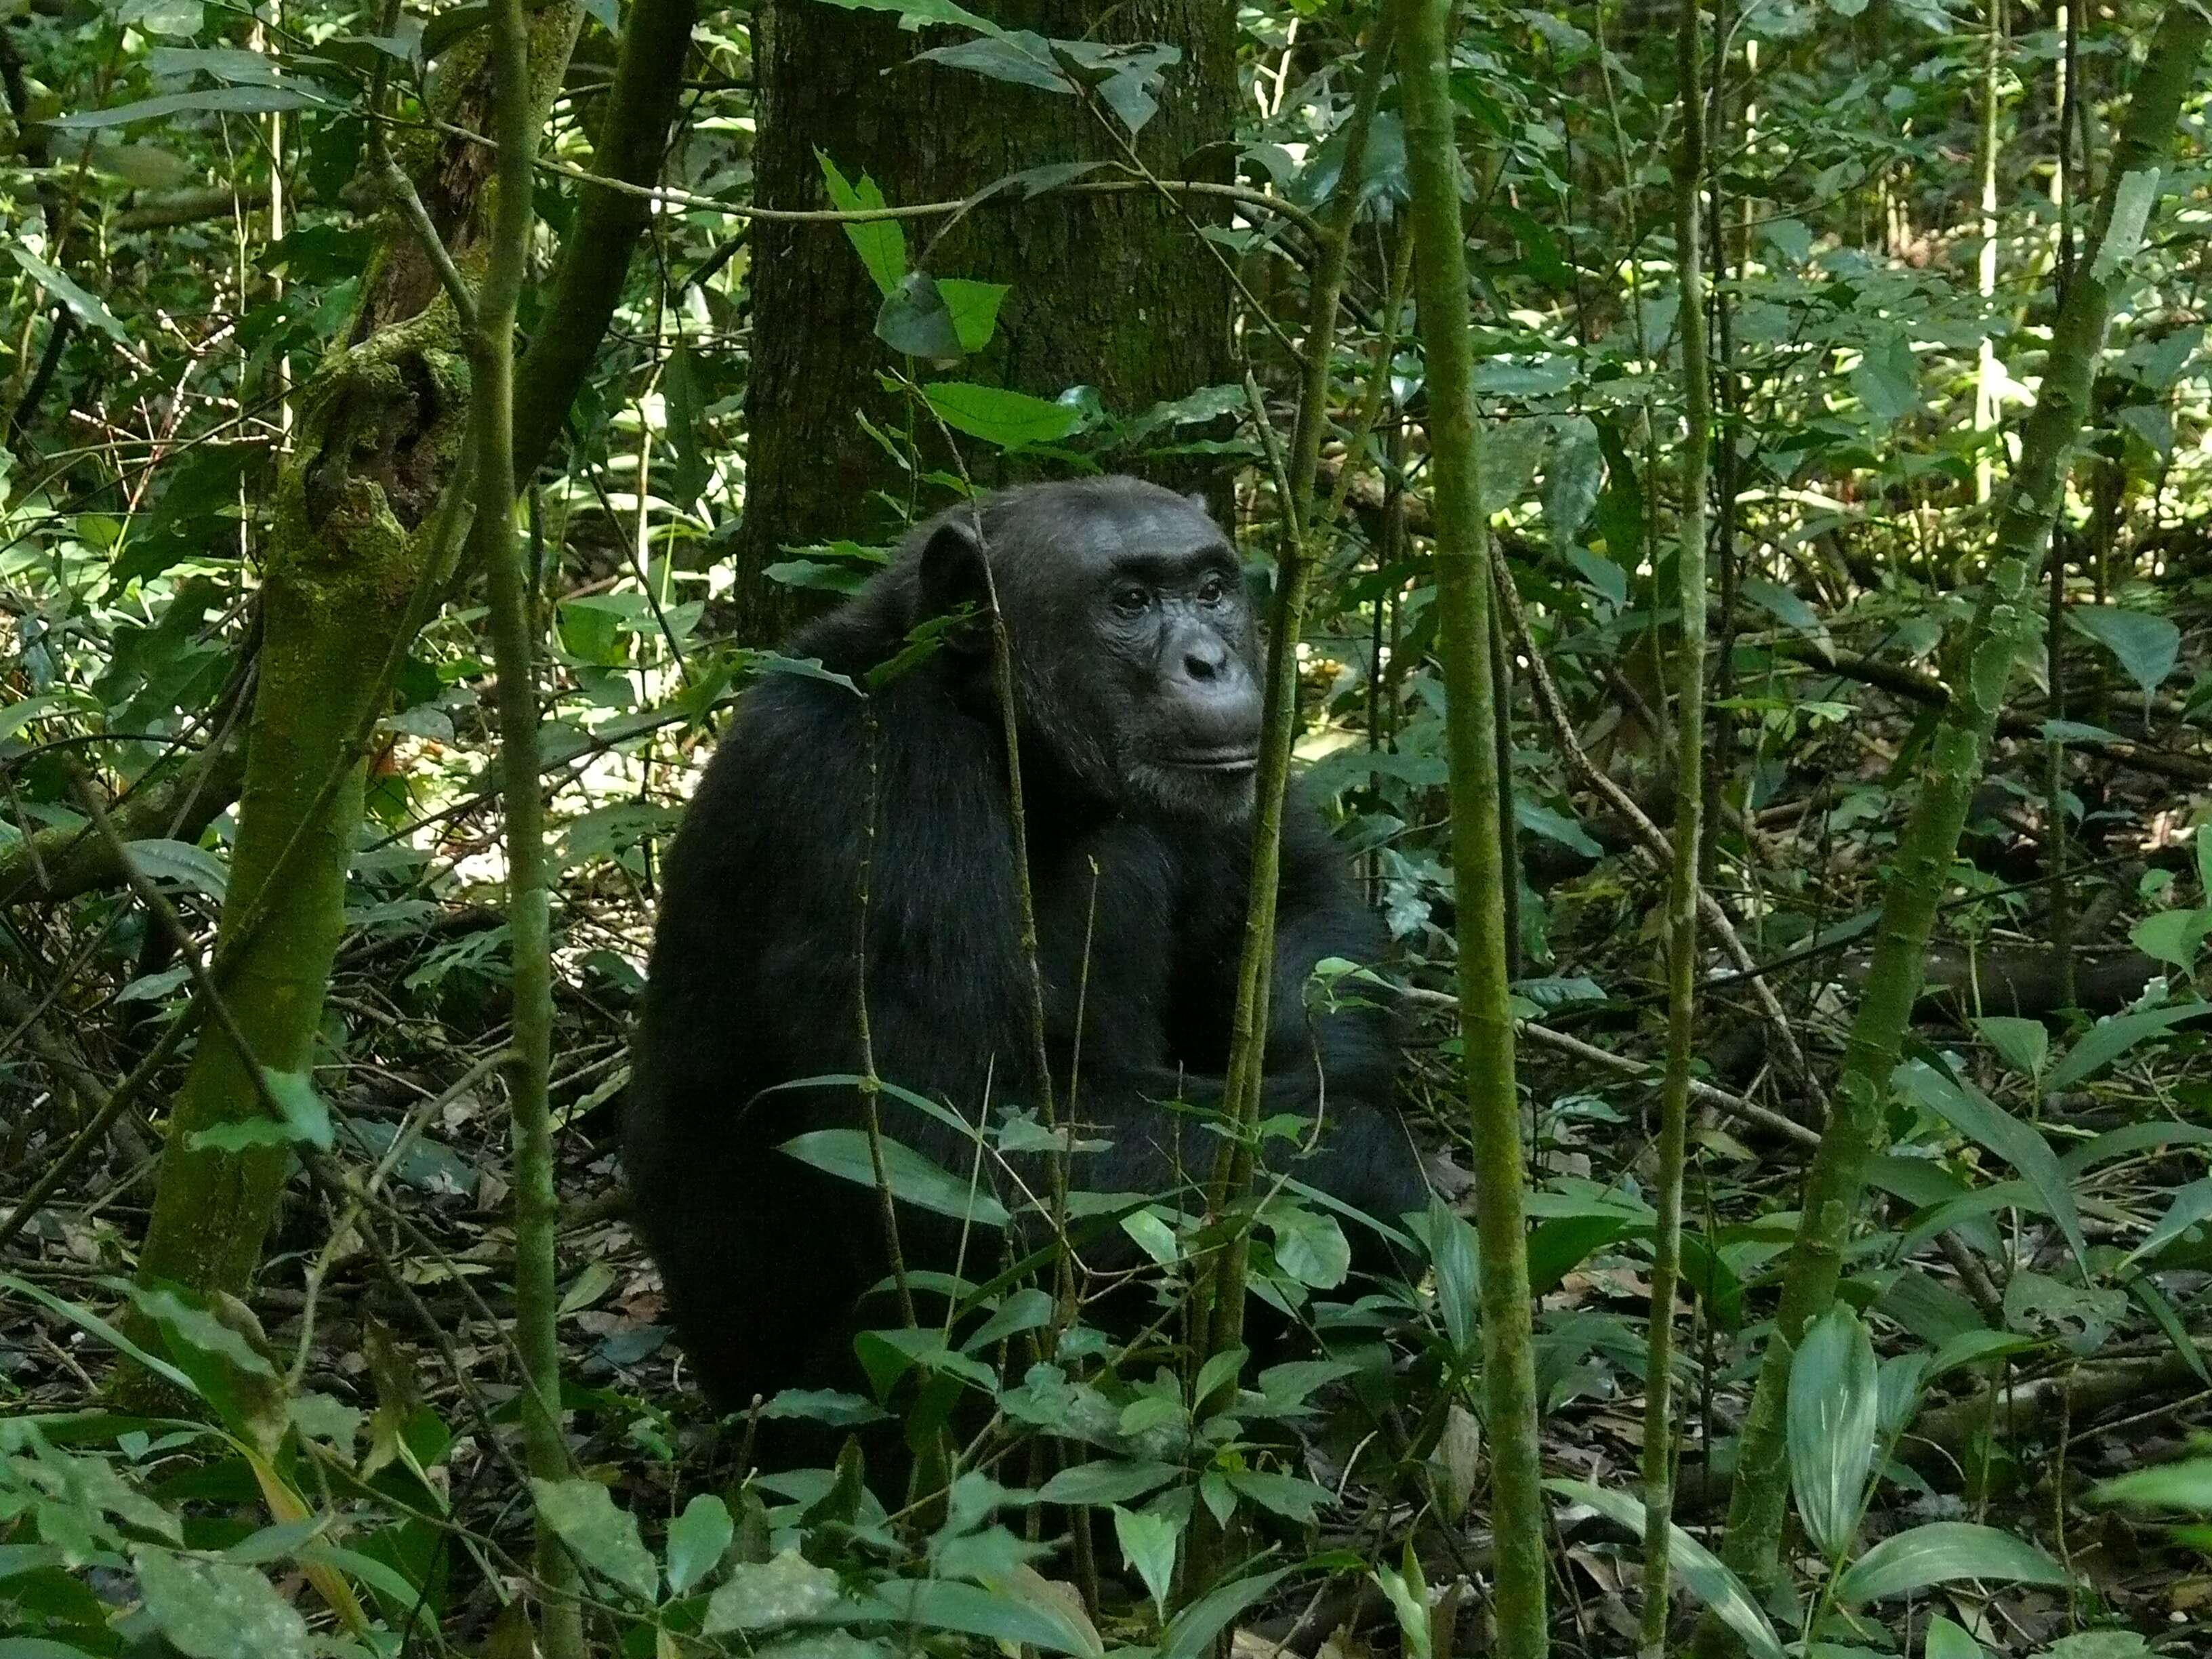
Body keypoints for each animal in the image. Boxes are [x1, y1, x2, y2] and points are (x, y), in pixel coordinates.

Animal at [619, 478, 1433, 1415]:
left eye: (1211, 591)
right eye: (1130, 602)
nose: (1209, 660)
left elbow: (1299, 900)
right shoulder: (868, 802)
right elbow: (955, 1148)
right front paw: (1371, 1166)